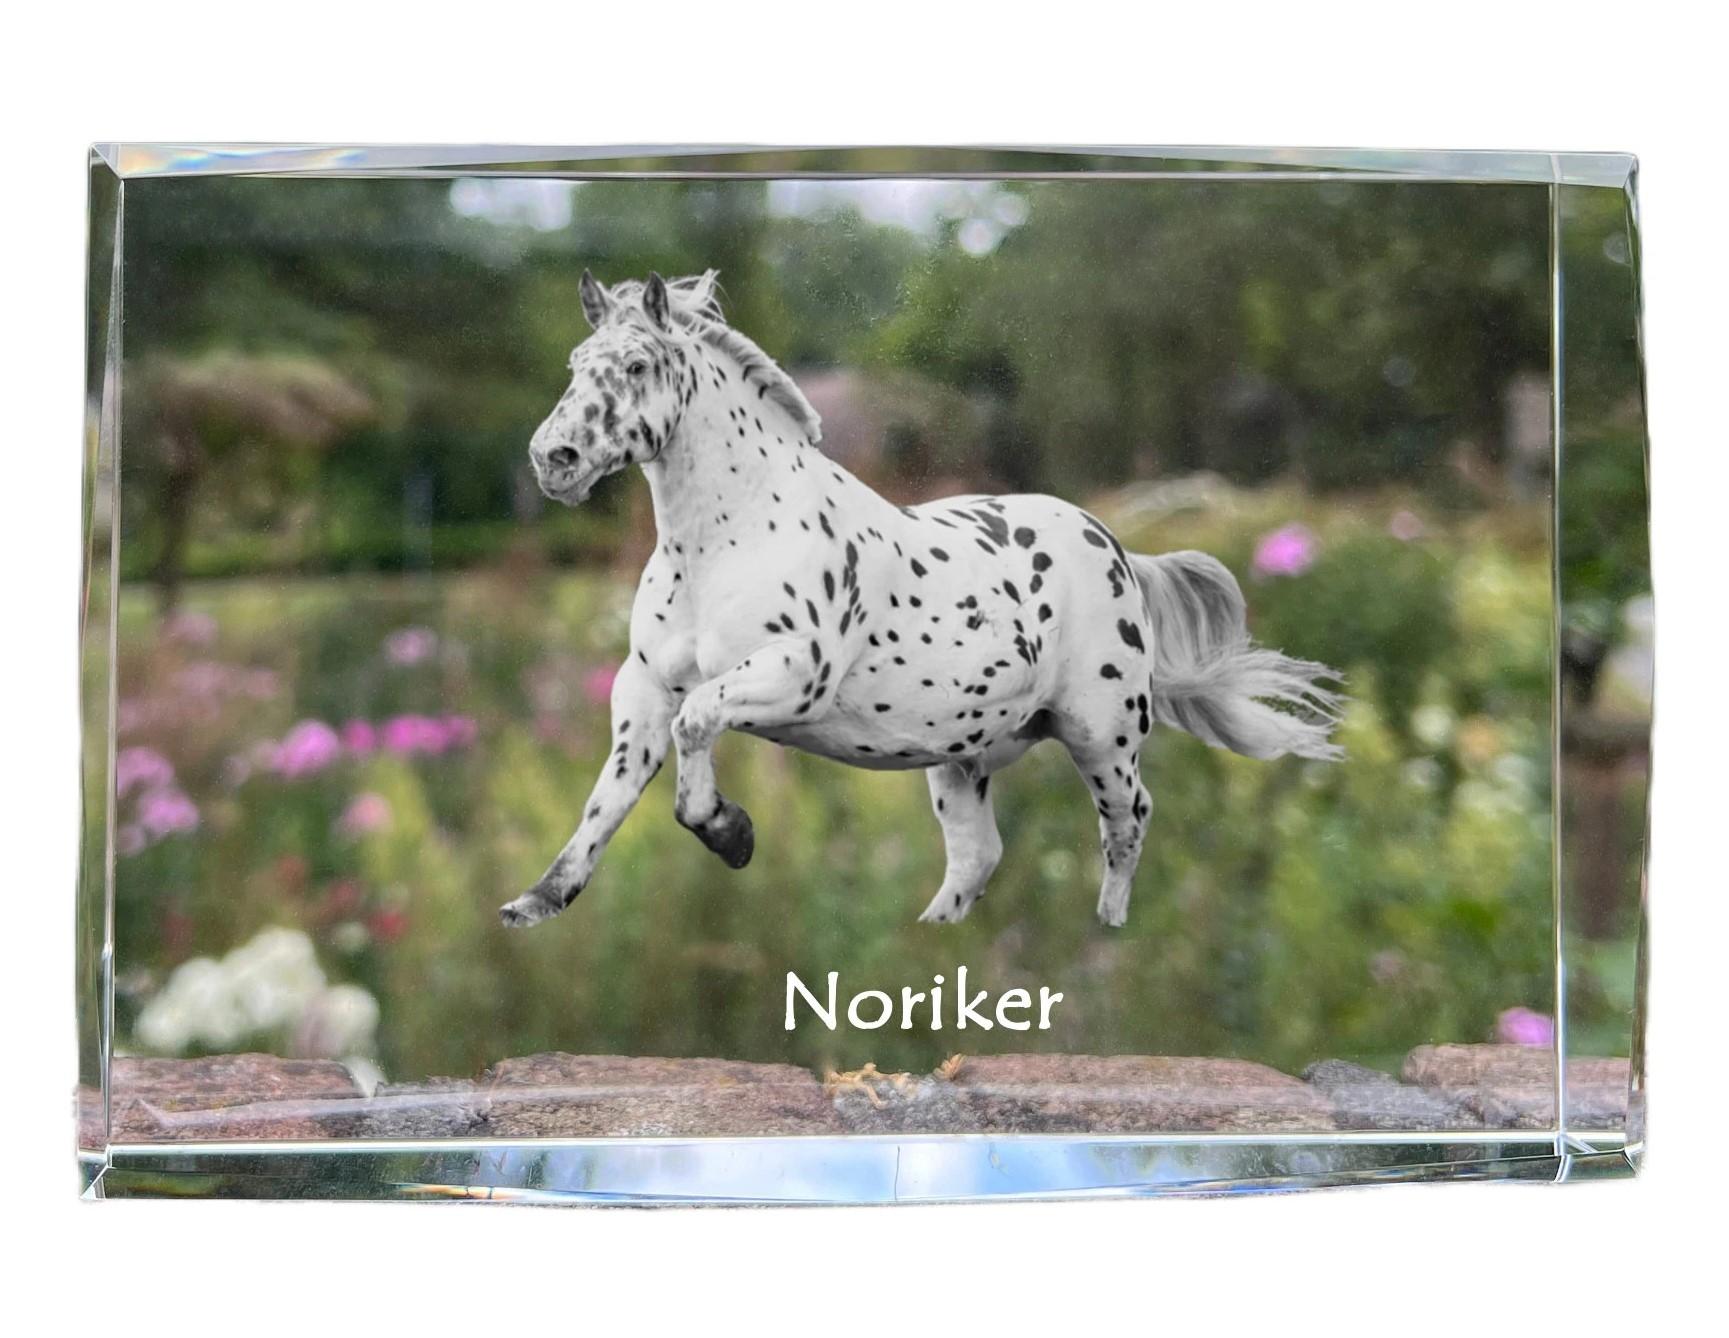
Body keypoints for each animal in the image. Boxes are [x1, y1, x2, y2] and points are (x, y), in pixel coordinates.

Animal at [499, 270, 1343, 931]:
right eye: (576, 364)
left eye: (638, 363)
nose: (553, 459)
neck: (726, 539)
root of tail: (1112, 546)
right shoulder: (643, 685)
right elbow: (609, 797)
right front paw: (537, 901)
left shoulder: (792, 676)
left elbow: (698, 723)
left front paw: (729, 833)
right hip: (960, 758)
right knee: (977, 857)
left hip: (1100, 735)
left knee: (1126, 824)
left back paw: (1108, 932)